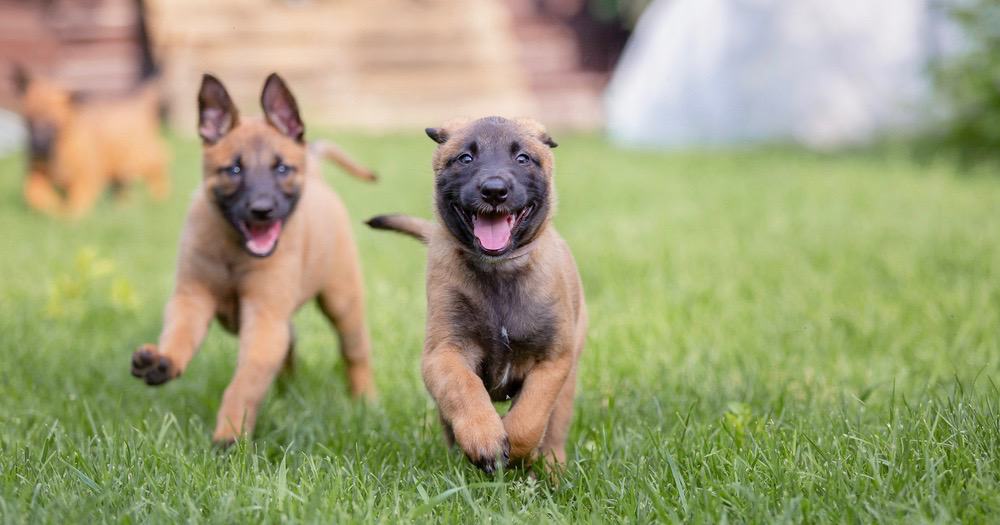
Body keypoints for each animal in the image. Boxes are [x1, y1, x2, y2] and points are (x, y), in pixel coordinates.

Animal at [11, 65, 170, 217]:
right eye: (29, 120)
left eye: (52, 124)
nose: (37, 147)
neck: (59, 148)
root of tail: (141, 103)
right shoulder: (36, 174)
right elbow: (34, 194)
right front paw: (51, 208)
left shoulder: (86, 178)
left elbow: (75, 204)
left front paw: (66, 216)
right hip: (120, 171)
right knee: (123, 188)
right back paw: (123, 208)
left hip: (145, 159)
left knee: (159, 169)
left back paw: (159, 198)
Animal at [127, 73, 374, 442]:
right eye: (233, 170)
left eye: (282, 168)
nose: (262, 210)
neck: (235, 250)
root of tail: (316, 173)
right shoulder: (192, 298)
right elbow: (180, 335)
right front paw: (163, 360)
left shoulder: (264, 317)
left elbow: (244, 383)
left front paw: (230, 432)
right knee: (290, 343)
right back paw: (288, 394)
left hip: (342, 301)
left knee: (354, 351)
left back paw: (365, 401)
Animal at [368, 114, 584, 470]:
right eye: (466, 158)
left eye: (522, 158)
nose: (494, 191)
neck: (498, 272)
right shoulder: (443, 352)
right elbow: (463, 388)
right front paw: (485, 439)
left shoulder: (553, 360)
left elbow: (531, 414)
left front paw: (517, 446)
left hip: (568, 383)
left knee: (554, 430)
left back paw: (551, 468)